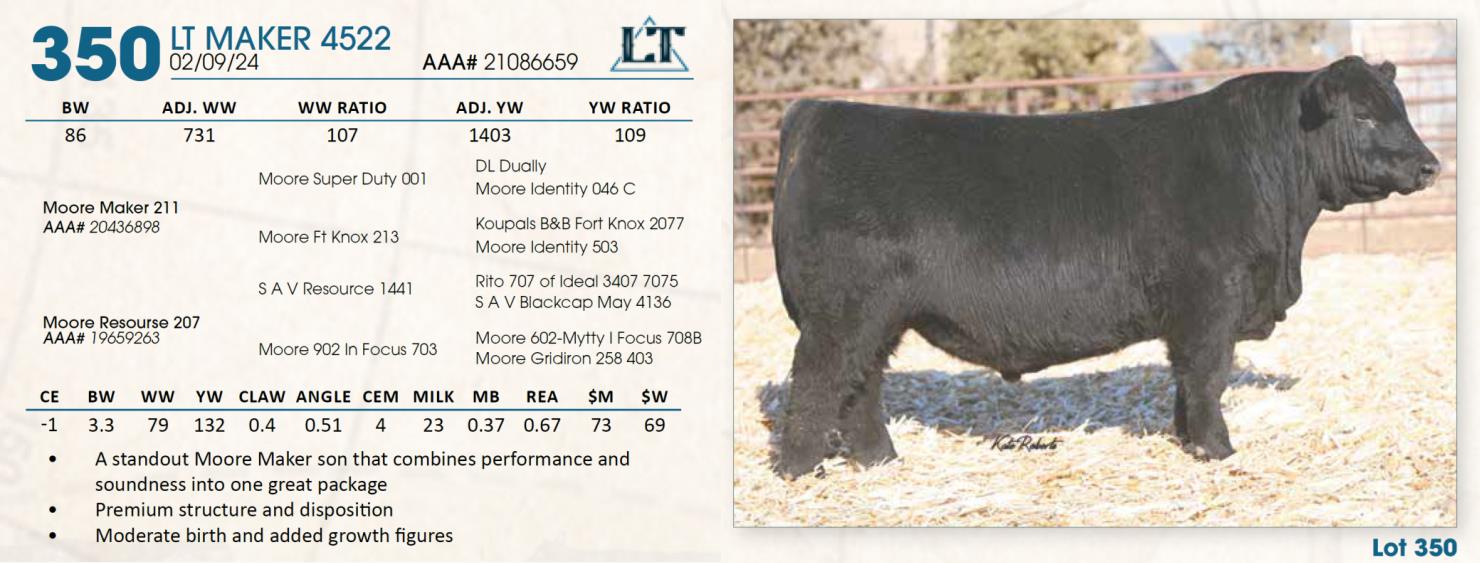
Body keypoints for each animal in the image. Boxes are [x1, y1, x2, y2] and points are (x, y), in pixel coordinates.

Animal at [770, 56, 1440, 479]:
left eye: (1400, 107)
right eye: (1363, 115)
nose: (1430, 165)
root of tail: (817, 112)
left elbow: (1186, 381)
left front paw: (1188, 441)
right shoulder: (1211, 300)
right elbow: (1208, 376)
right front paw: (1219, 450)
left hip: (876, 318)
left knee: (861, 384)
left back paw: (880, 461)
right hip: (840, 315)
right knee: (818, 382)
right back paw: (801, 473)